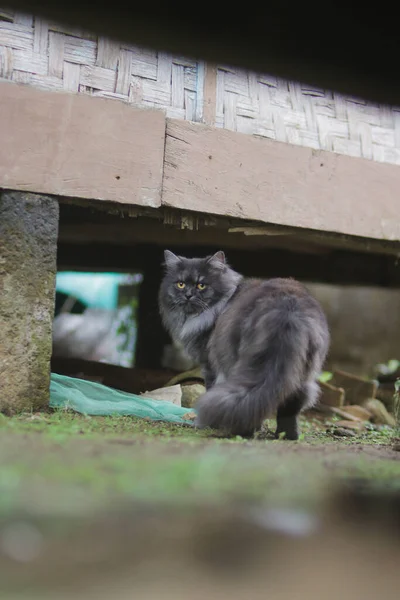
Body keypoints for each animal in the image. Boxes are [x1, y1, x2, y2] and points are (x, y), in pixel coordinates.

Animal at [158, 250, 330, 440]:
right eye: (180, 284)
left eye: (201, 285)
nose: (188, 295)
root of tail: (287, 309)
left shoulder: (210, 365)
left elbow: (211, 388)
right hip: (303, 373)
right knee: (286, 405)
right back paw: (286, 436)